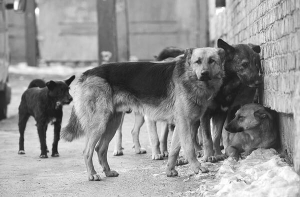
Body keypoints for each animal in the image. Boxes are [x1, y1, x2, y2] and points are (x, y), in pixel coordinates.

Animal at [61, 47, 225, 180]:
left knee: (100, 149)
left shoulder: (181, 125)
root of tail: (86, 74)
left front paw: (169, 170)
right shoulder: (184, 123)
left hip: (112, 124)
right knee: (87, 151)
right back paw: (92, 174)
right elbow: (189, 148)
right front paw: (197, 168)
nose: (204, 74)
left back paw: (107, 172)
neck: (188, 75)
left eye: (212, 61)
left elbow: (174, 150)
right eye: (197, 61)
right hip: (99, 124)